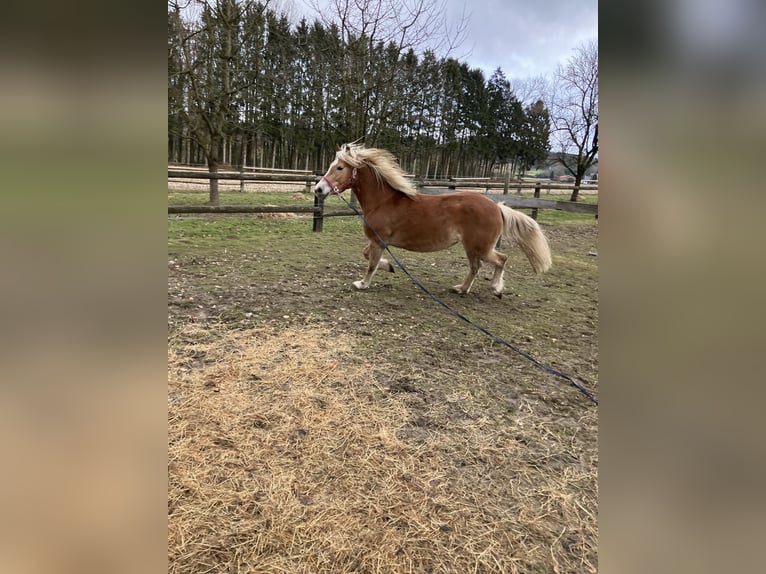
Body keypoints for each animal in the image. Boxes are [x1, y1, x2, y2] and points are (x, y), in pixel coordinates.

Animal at [314, 144, 552, 300]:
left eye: (339, 167)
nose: (319, 189)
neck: (383, 201)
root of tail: (497, 207)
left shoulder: (378, 240)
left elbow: (371, 262)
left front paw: (362, 284)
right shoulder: (377, 240)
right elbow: (367, 256)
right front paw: (390, 267)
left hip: (481, 247)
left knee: (501, 259)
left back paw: (495, 288)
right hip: (472, 248)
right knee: (475, 267)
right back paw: (461, 289)